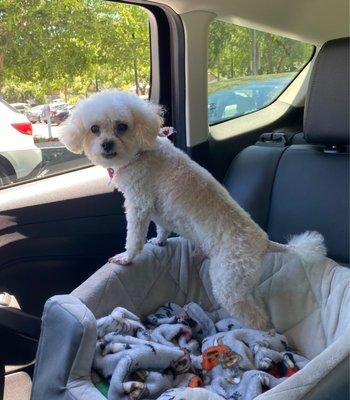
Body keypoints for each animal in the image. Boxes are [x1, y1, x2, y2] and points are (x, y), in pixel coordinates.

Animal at [59, 90, 326, 328]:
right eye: (94, 129)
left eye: (122, 126)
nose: (106, 144)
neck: (141, 153)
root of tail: (264, 243)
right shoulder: (159, 209)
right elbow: (162, 227)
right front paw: (159, 241)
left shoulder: (139, 204)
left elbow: (134, 238)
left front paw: (126, 257)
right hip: (243, 285)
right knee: (258, 305)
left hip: (228, 283)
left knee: (256, 319)